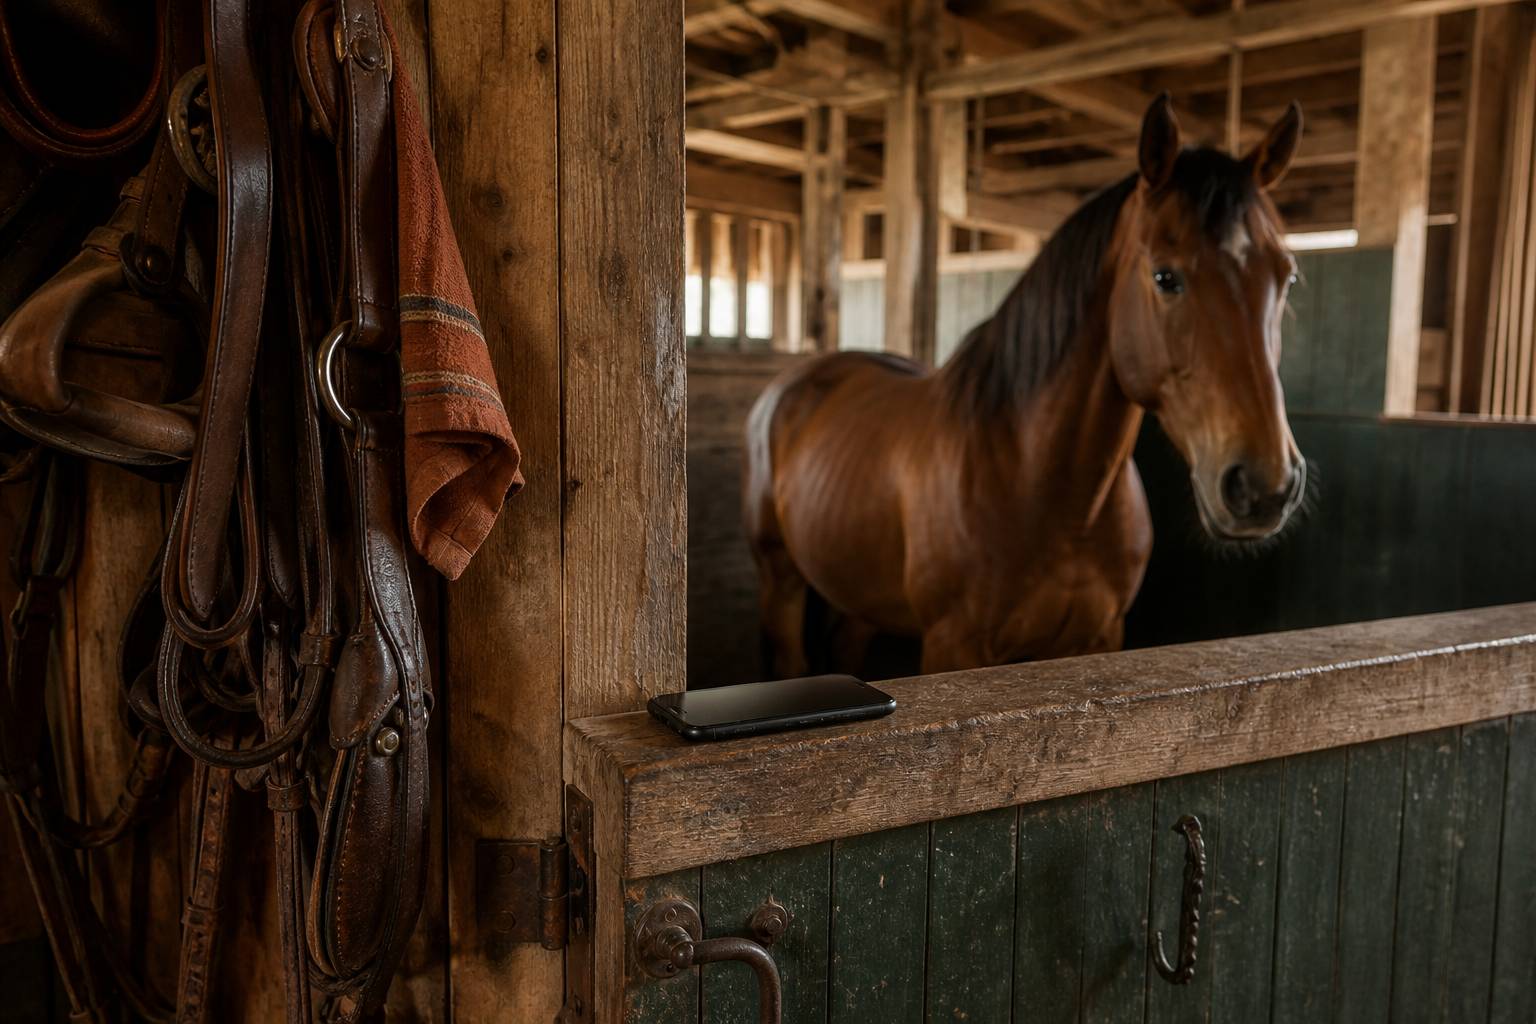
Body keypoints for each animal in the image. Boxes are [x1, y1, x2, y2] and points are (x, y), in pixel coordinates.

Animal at [744, 94, 1308, 676]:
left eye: (1285, 276)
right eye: (1165, 277)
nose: (1265, 487)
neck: (1047, 491)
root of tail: (792, 385)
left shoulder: (1098, 639)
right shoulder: (954, 648)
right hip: (779, 578)